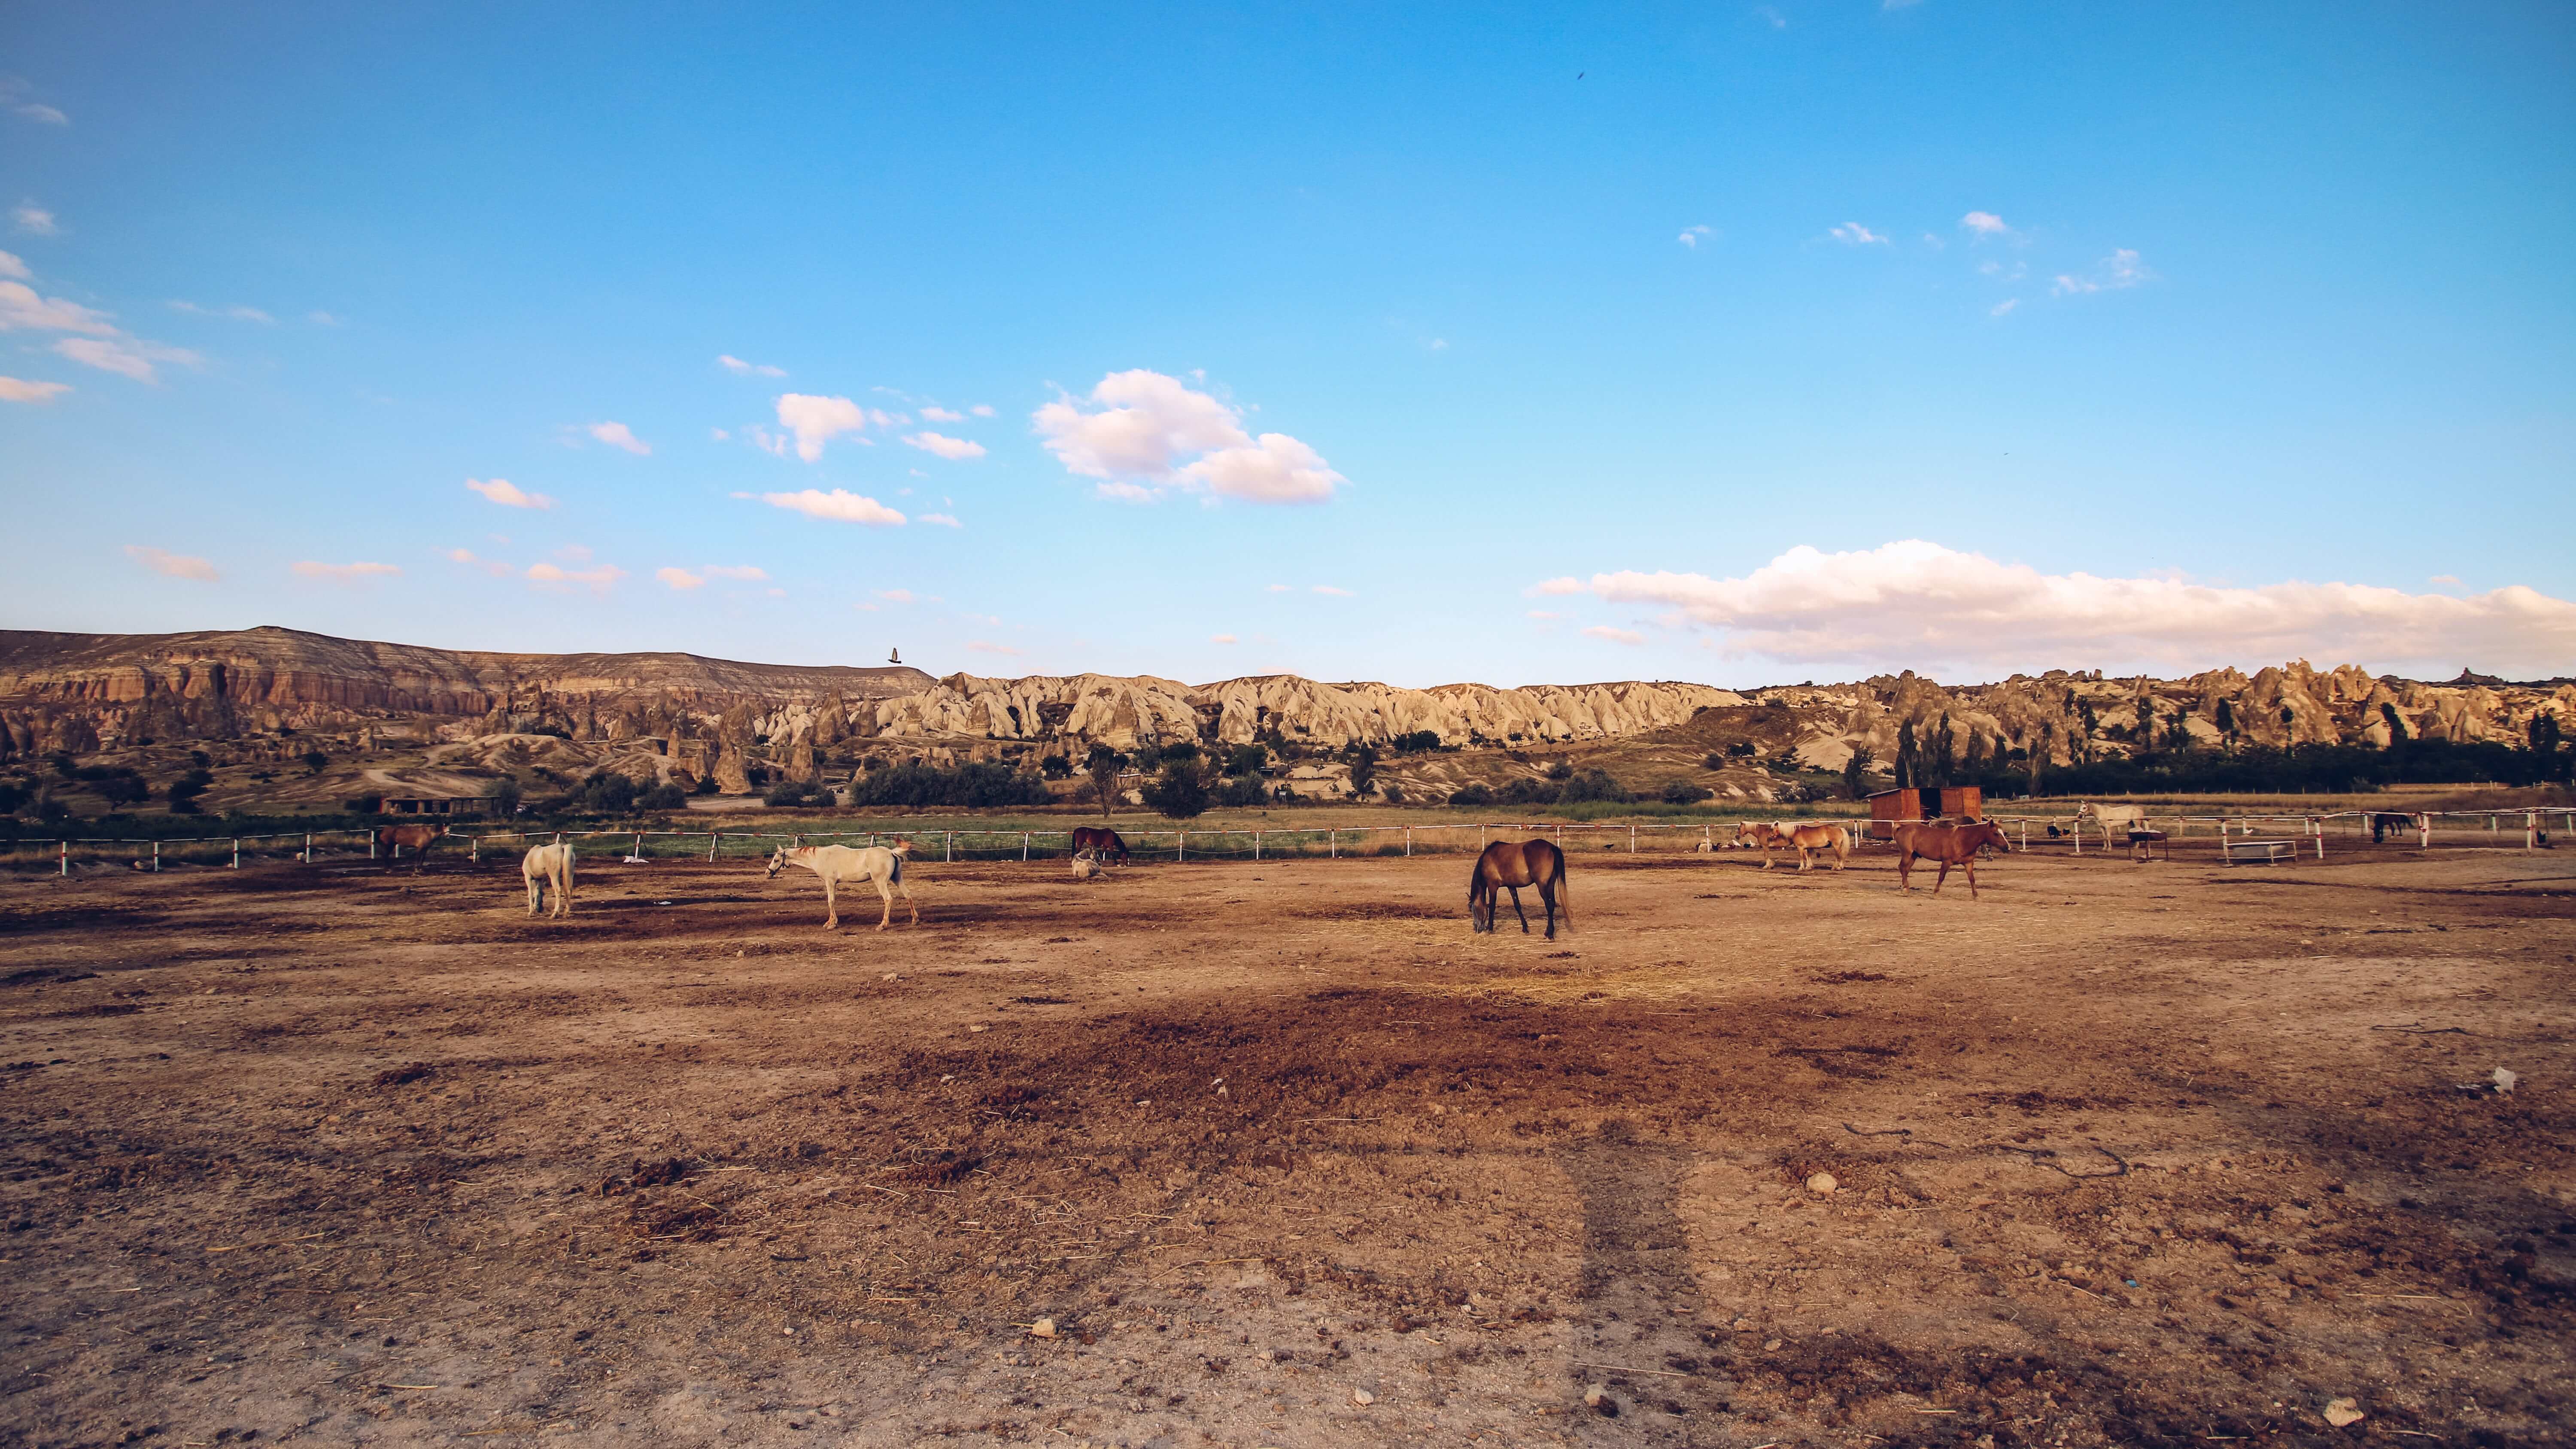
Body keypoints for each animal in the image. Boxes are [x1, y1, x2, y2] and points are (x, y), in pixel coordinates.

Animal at [518, 839, 574, 916]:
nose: (540, 909)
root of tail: (562, 846)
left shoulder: (528, 877)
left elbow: (531, 894)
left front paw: (531, 912)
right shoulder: (540, 879)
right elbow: (538, 893)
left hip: (554, 877)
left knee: (558, 891)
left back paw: (555, 913)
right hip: (570, 875)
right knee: (569, 890)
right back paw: (567, 912)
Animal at [762, 839, 917, 931]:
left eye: (776, 860)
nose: (767, 873)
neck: (820, 857)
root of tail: (891, 852)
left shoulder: (830, 882)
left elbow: (831, 901)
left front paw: (832, 924)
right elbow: (832, 902)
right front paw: (830, 922)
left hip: (881, 882)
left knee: (888, 899)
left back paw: (883, 925)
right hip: (897, 879)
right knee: (908, 894)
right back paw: (915, 920)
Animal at [1077, 828, 1139, 859]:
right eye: (1126, 856)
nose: (1127, 865)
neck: (1112, 836)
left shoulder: (1105, 846)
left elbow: (1102, 853)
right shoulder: (1110, 846)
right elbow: (1113, 854)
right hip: (1080, 844)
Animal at [1473, 839, 1566, 942]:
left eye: (1473, 909)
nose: (1476, 929)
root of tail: (1552, 847)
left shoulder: (1492, 886)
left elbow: (1492, 906)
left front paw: (1490, 928)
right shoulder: (1511, 886)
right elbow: (1517, 906)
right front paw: (1525, 928)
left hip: (1542, 886)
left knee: (1549, 905)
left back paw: (1550, 935)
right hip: (1551, 884)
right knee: (1553, 904)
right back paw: (1548, 932)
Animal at [1896, 823, 2009, 900]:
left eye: (2004, 833)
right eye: (1996, 833)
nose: (2008, 848)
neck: (1963, 840)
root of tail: (1902, 827)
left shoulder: (1969, 863)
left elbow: (1972, 879)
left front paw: (1976, 895)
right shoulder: (1947, 862)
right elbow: (1941, 877)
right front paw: (1935, 894)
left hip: (1913, 856)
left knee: (1906, 870)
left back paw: (1905, 888)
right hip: (1907, 854)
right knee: (1902, 868)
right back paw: (1905, 890)